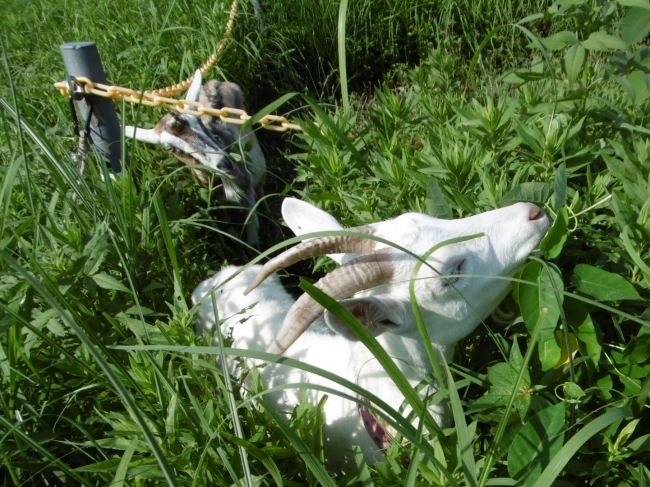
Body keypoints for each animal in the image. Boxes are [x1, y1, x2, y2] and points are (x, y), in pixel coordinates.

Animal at [125, 71, 264, 248]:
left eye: (198, 121)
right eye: (171, 148)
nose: (225, 164)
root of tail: (214, 82)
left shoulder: (247, 193)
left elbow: (253, 240)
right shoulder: (220, 210)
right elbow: (234, 240)